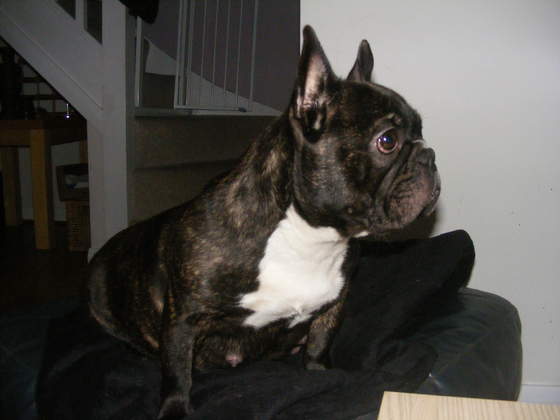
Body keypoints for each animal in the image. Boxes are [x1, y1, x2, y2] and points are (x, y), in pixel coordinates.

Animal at [87, 26, 440, 419]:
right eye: (387, 141)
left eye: (421, 131)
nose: (429, 156)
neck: (308, 235)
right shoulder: (183, 321)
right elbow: (177, 372)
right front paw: (175, 409)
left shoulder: (334, 303)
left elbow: (319, 342)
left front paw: (320, 372)